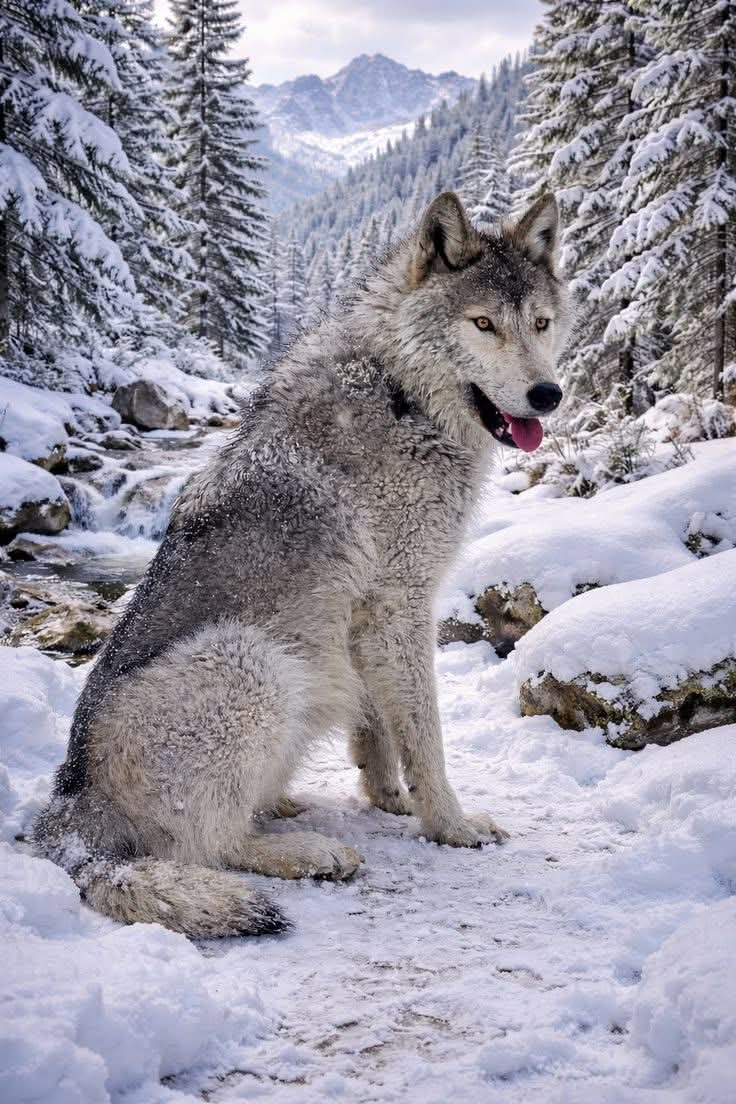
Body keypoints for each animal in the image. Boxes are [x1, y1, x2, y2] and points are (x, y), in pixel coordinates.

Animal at [34, 191, 573, 937]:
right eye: (484, 323)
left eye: (541, 323)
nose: (548, 394)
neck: (400, 395)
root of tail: (71, 807)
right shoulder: (400, 606)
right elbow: (426, 735)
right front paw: (451, 825)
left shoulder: (372, 619)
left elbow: (381, 729)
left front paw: (390, 799)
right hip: (249, 662)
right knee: (205, 846)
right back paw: (311, 853)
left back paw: (282, 807)